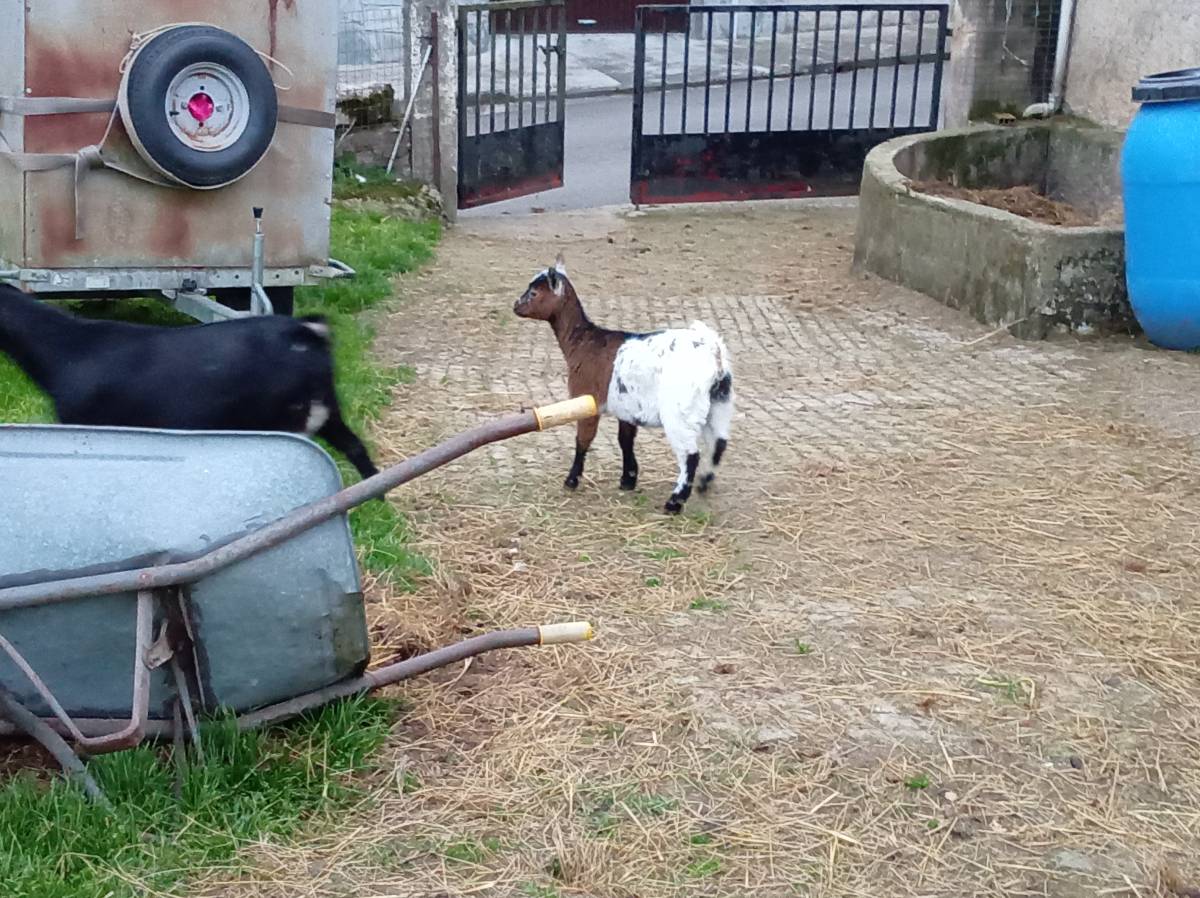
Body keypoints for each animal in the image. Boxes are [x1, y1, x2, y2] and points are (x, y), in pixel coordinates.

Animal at [514, 255, 733, 514]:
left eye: (534, 293)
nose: (515, 306)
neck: (584, 343)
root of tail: (714, 355)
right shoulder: (627, 407)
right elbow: (625, 439)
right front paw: (628, 479)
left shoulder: (587, 399)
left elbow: (583, 440)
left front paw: (571, 481)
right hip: (720, 404)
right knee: (718, 443)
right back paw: (704, 484)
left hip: (680, 413)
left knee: (691, 455)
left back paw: (674, 502)